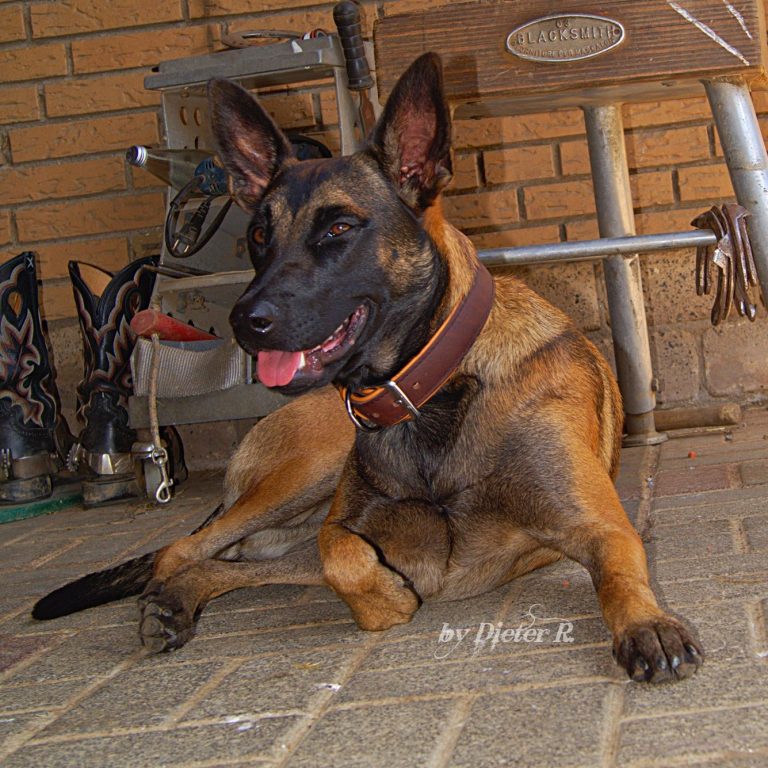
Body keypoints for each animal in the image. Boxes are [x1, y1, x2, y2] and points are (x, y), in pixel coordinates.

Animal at [33, 53, 702, 683]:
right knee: (179, 551)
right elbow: (342, 551)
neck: (432, 392)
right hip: (306, 472)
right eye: (258, 235)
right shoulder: (348, 524)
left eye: (339, 227)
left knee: (223, 563)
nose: (244, 321)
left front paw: (646, 624)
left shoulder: (600, 526)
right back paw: (168, 604)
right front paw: (387, 599)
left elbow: (619, 574)